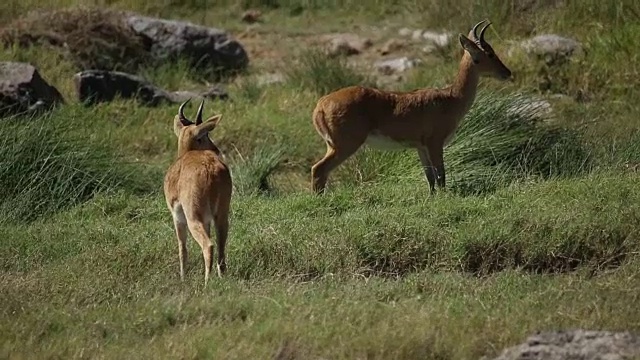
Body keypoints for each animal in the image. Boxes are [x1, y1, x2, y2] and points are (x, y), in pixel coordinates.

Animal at [162, 99, 232, 286]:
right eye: (205, 136)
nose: (216, 149)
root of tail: (211, 169)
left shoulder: (177, 217)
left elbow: (182, 248)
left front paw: (183, 279)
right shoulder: (207, 220)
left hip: (193, 217)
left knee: (208, 246)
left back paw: (207, 284)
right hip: (221, 216)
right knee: (220, 246)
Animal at [308, 19, 512, 194]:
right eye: (489, 53)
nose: (507, 72)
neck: (451, 97)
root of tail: (321, 105)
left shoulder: (420, 147)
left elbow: (430, 177)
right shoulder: (434, 143)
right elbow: (441, 175)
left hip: (333, 145)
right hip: (346, 144)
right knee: (319, 169)